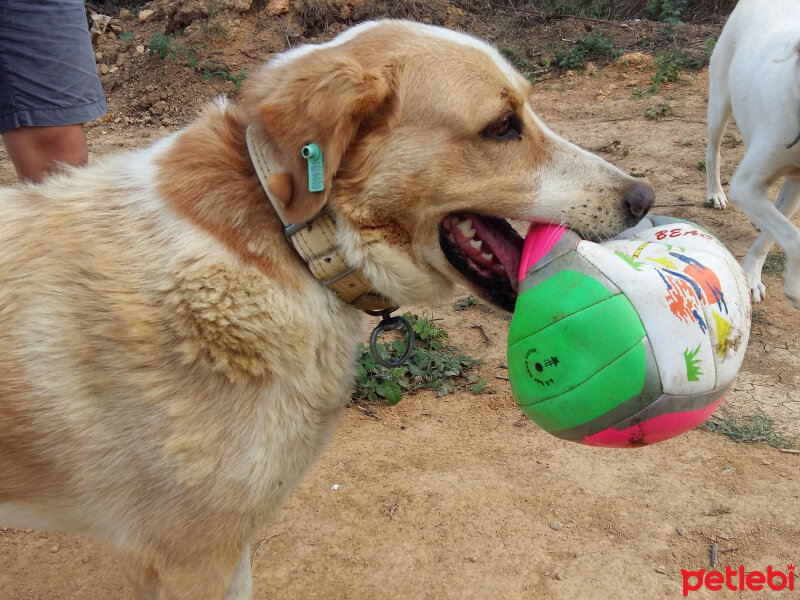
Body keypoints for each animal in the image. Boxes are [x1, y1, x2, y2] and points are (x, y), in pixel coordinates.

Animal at [708, 0, 800, 310]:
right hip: (719, 104)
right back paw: (715, 193)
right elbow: (794, 237)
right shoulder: (745, 186)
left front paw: (752, 275)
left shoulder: (795, 186)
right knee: (712, 153)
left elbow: (776, 233)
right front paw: (794, 286)